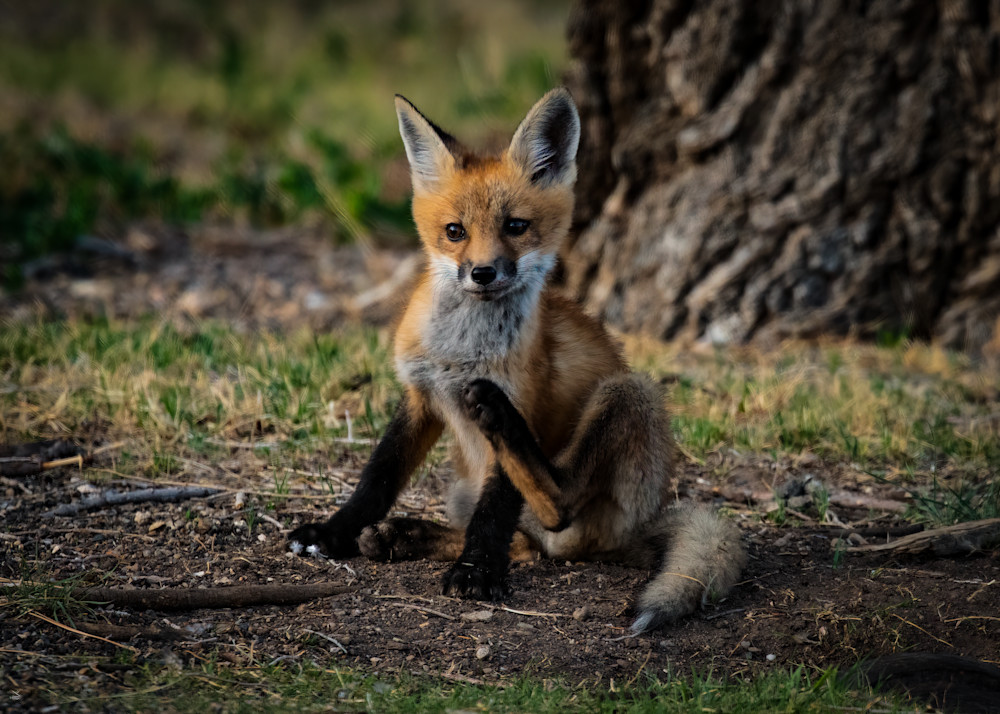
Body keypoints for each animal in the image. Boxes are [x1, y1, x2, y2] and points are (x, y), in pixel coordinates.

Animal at [289, 88, 745, 632]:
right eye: (455, 231)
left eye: (516, 227)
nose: (483, 273)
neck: (461, 352)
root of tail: (642, 523)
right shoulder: (420, 394)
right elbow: (377, 479)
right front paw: (334, 532)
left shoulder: (523, 397)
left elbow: (494, 513)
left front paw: (476, 571)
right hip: (461, 489)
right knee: (527, 544)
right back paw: (403, 535)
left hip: (631, 393)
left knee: (557, 506)